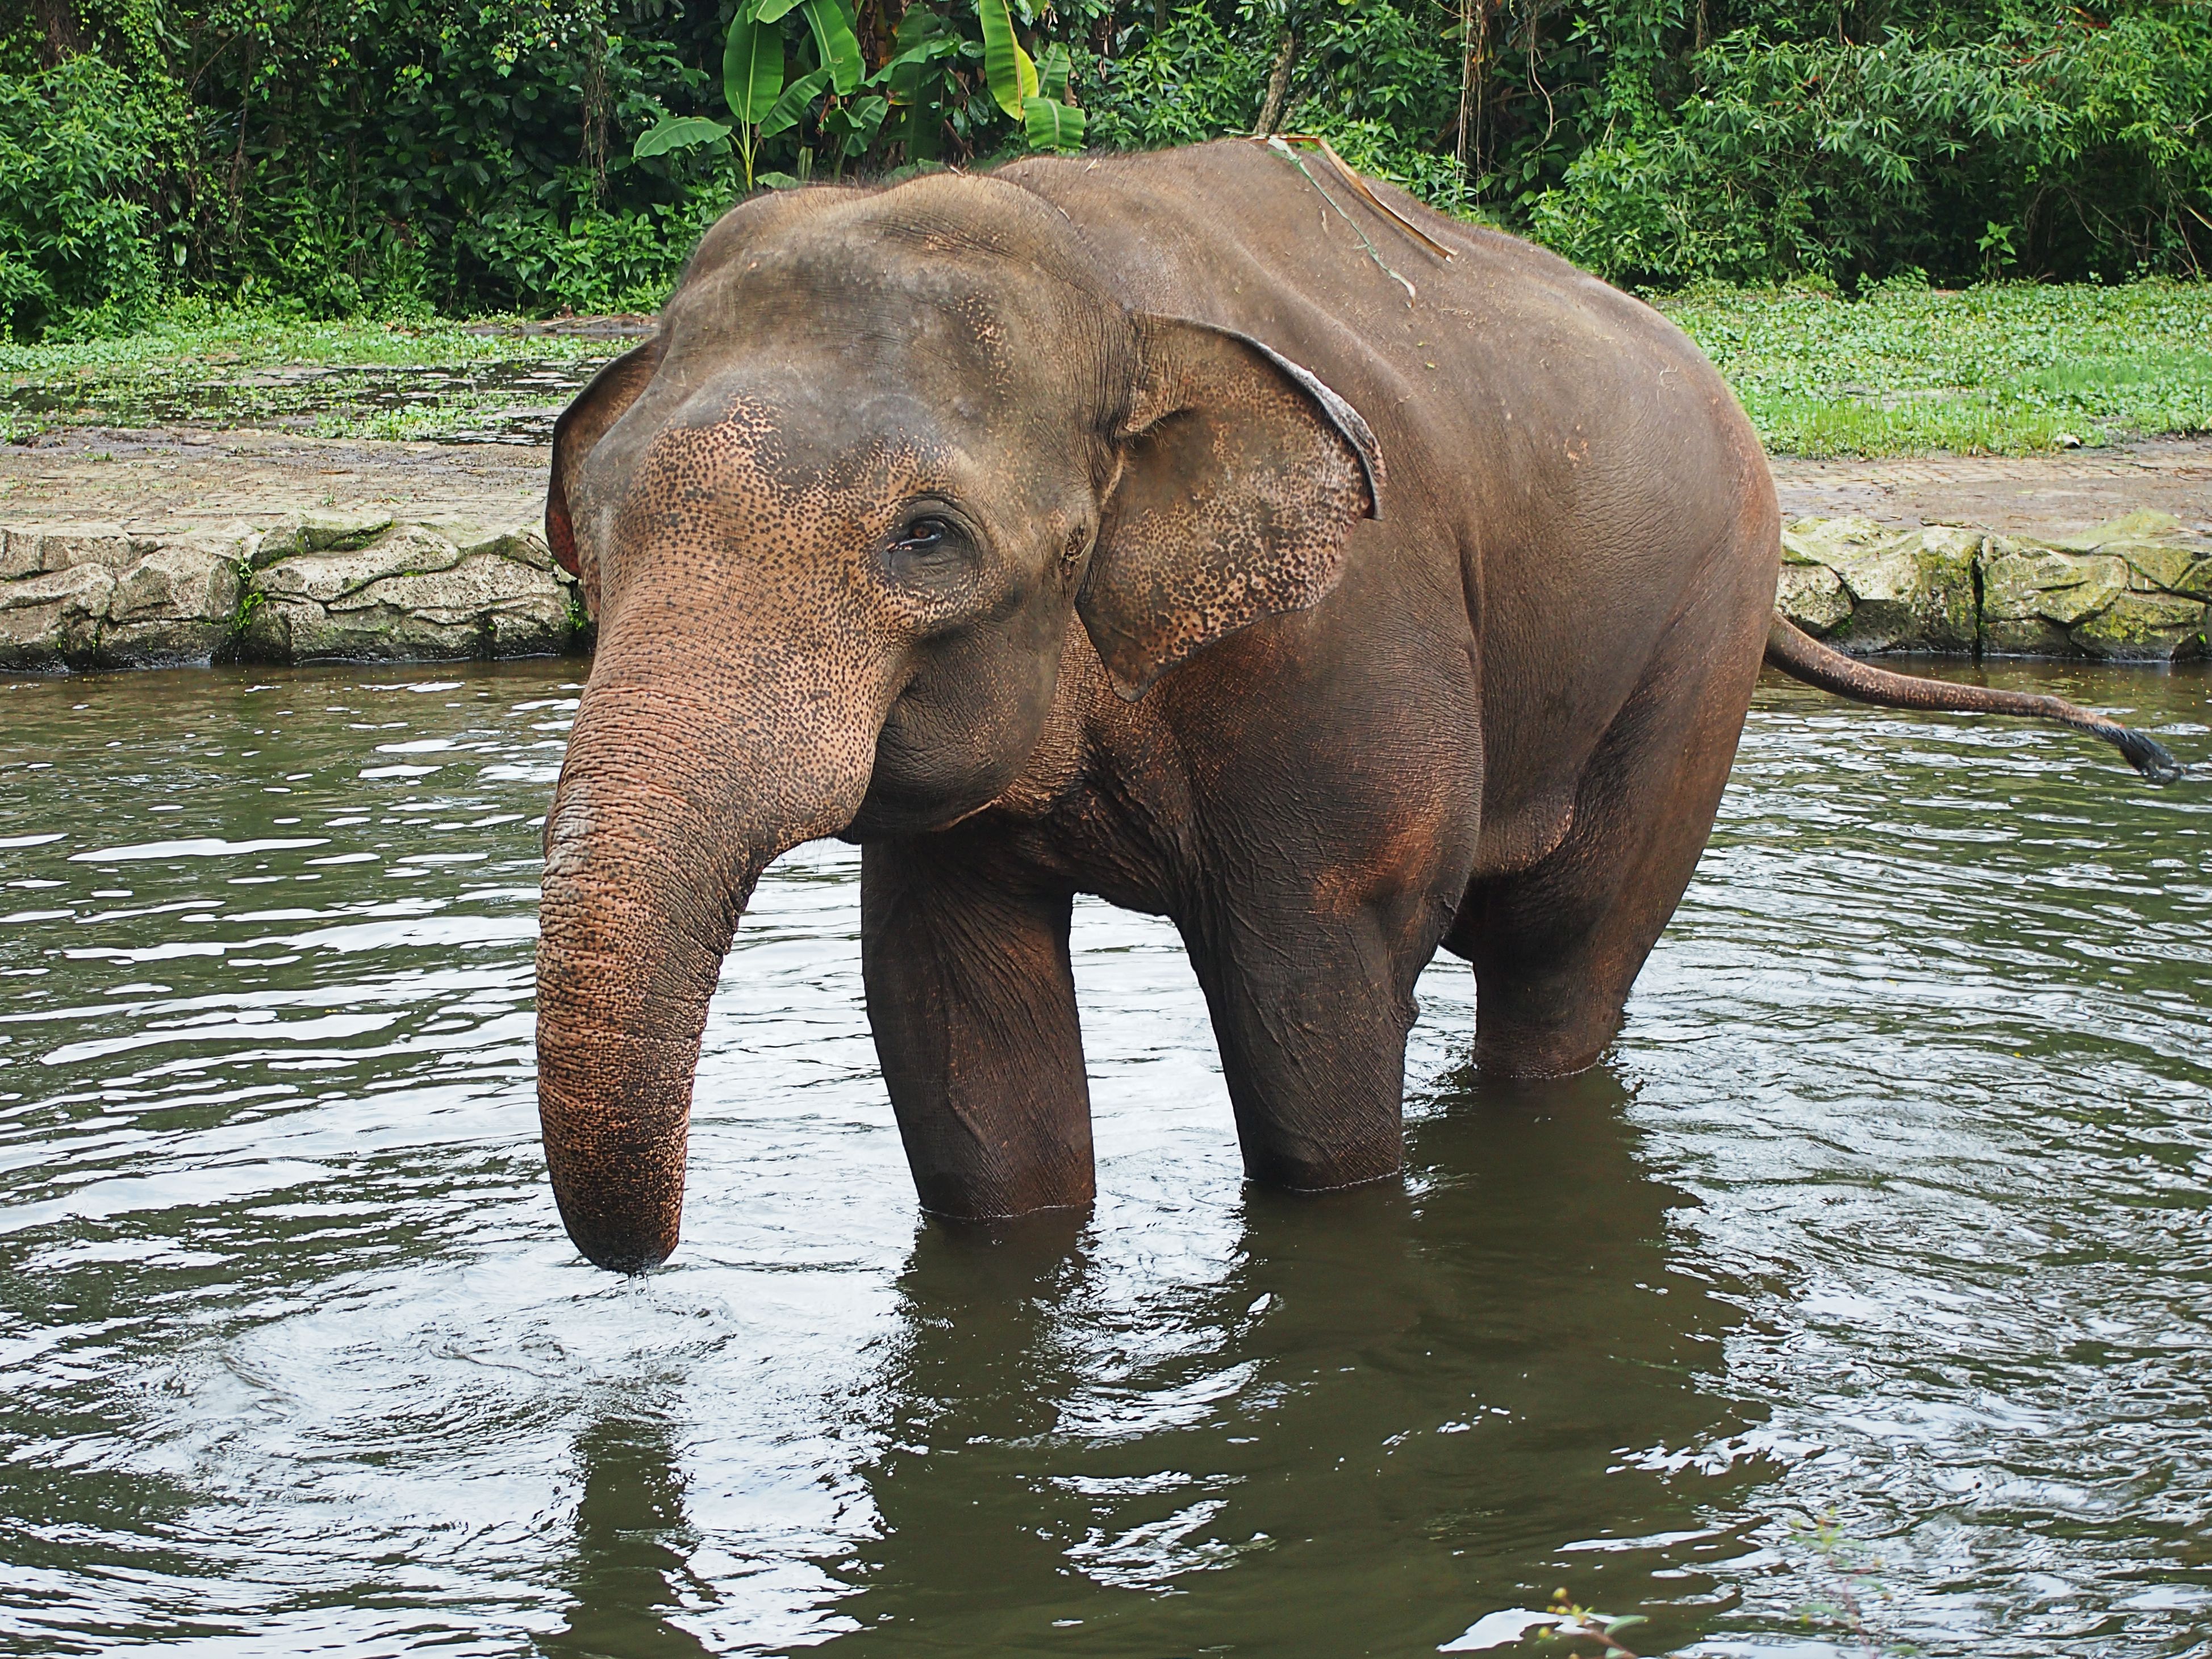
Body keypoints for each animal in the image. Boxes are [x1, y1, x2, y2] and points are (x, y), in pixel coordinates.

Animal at [536, 138, 2177, 1273]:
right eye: (592, 530)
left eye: (925, 538)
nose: (659, 1260)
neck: (1098, 271)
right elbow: (960, 1035)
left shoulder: (1348, 637)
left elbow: (1307, 1002)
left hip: (1692, 647)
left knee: (1560, 963)